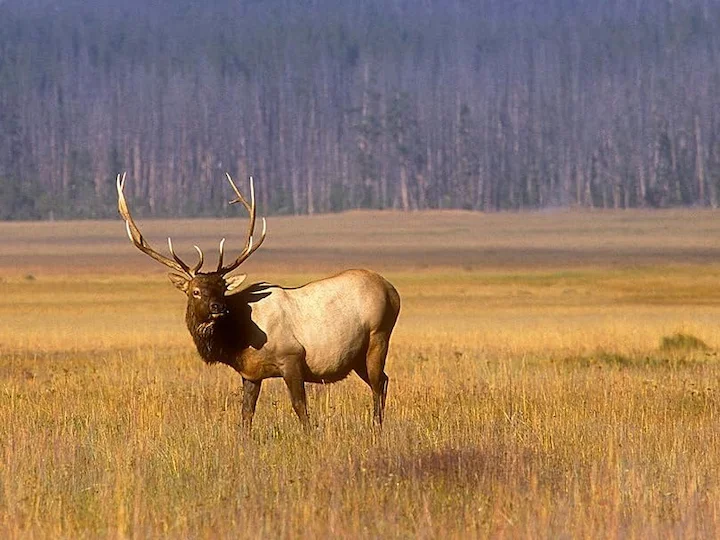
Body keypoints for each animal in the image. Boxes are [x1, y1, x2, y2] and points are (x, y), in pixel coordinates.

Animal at [116, 173, 400, 433]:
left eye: (222, 288)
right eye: (195, 291)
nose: (218, 308)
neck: (238, 340)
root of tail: (392, 290)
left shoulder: (292, 357)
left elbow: (300, 408)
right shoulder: (250, 373)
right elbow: (246, 414)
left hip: (378, 336)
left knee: (378, 384)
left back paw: (377, 428)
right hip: (357, 356)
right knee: (383, 381)